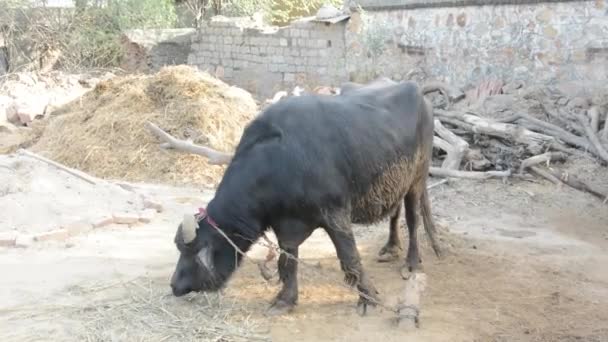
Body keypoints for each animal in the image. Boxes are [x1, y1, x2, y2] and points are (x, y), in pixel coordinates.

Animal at [171, 79, 442, 316]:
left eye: (195, 251)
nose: (174, 285)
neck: (282, 161)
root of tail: (421, 95)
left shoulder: (335, 215)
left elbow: (350, 258)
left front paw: (368, 298)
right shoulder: (286, 225)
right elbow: (287, 263)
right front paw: (285, 300)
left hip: (417, 177)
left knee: (413, 218)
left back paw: (412, 262)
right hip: (394, 181)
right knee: (394, 212)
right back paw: (390, 248)